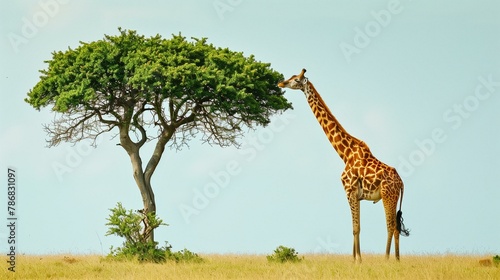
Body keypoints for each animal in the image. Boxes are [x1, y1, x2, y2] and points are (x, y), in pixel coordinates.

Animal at [280, 68, 408, 262]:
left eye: (295, 79)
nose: (281, 83)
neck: (344, 154)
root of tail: (401, 183)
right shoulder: (356, 195)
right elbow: (356, 227)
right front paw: (355, 260)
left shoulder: (349, 190)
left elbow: (355, 228)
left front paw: (358, 260)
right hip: (392, 197)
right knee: (396, 228)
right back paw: (397, 260)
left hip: (388, 195)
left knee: (390, 226)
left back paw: (387, 259)